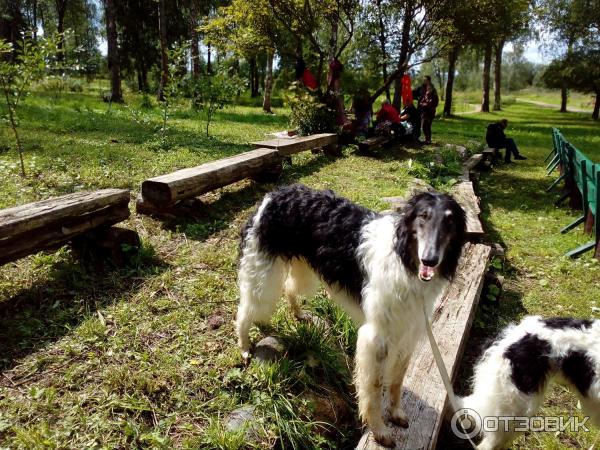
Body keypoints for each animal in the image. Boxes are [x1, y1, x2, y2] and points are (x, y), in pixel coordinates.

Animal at [237, 184, 466, 446]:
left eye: (450, 222)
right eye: (423, 216)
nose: (430, 260)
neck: (403, 259)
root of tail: (274, 194)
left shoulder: (407, 333)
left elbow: (396, 382)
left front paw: (396, 413)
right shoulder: (375, 337)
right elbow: (373, 389)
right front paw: (379, 430)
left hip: (303, 271)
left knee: (289, 288)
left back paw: (298, 314)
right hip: (262, 278)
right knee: (244, 312)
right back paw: (244, 347)